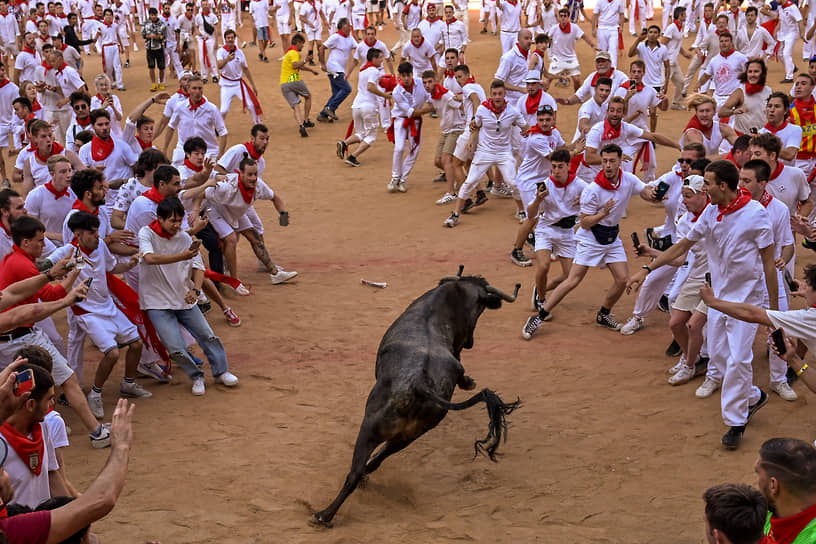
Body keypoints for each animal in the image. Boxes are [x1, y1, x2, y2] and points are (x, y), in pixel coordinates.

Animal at [312, 268, 524, 528]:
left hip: (371, 427)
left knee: (355, 472)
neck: (450, 298)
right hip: (412, 434)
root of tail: (421, 385)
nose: (472, 342)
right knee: (376, 461)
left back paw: (324, 514)